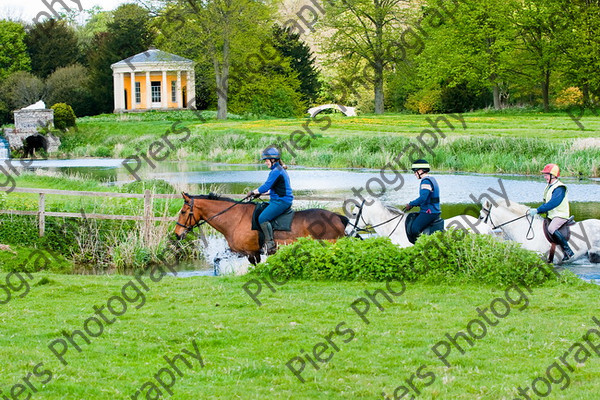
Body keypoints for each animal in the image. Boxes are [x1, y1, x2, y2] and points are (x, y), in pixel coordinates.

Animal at [173, 193, 350, 264]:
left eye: (182, 212)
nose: (177, 234)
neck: (235, 219)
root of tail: (337, 217)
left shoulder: (251, 253)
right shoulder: (239, 251)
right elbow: (218, 257)